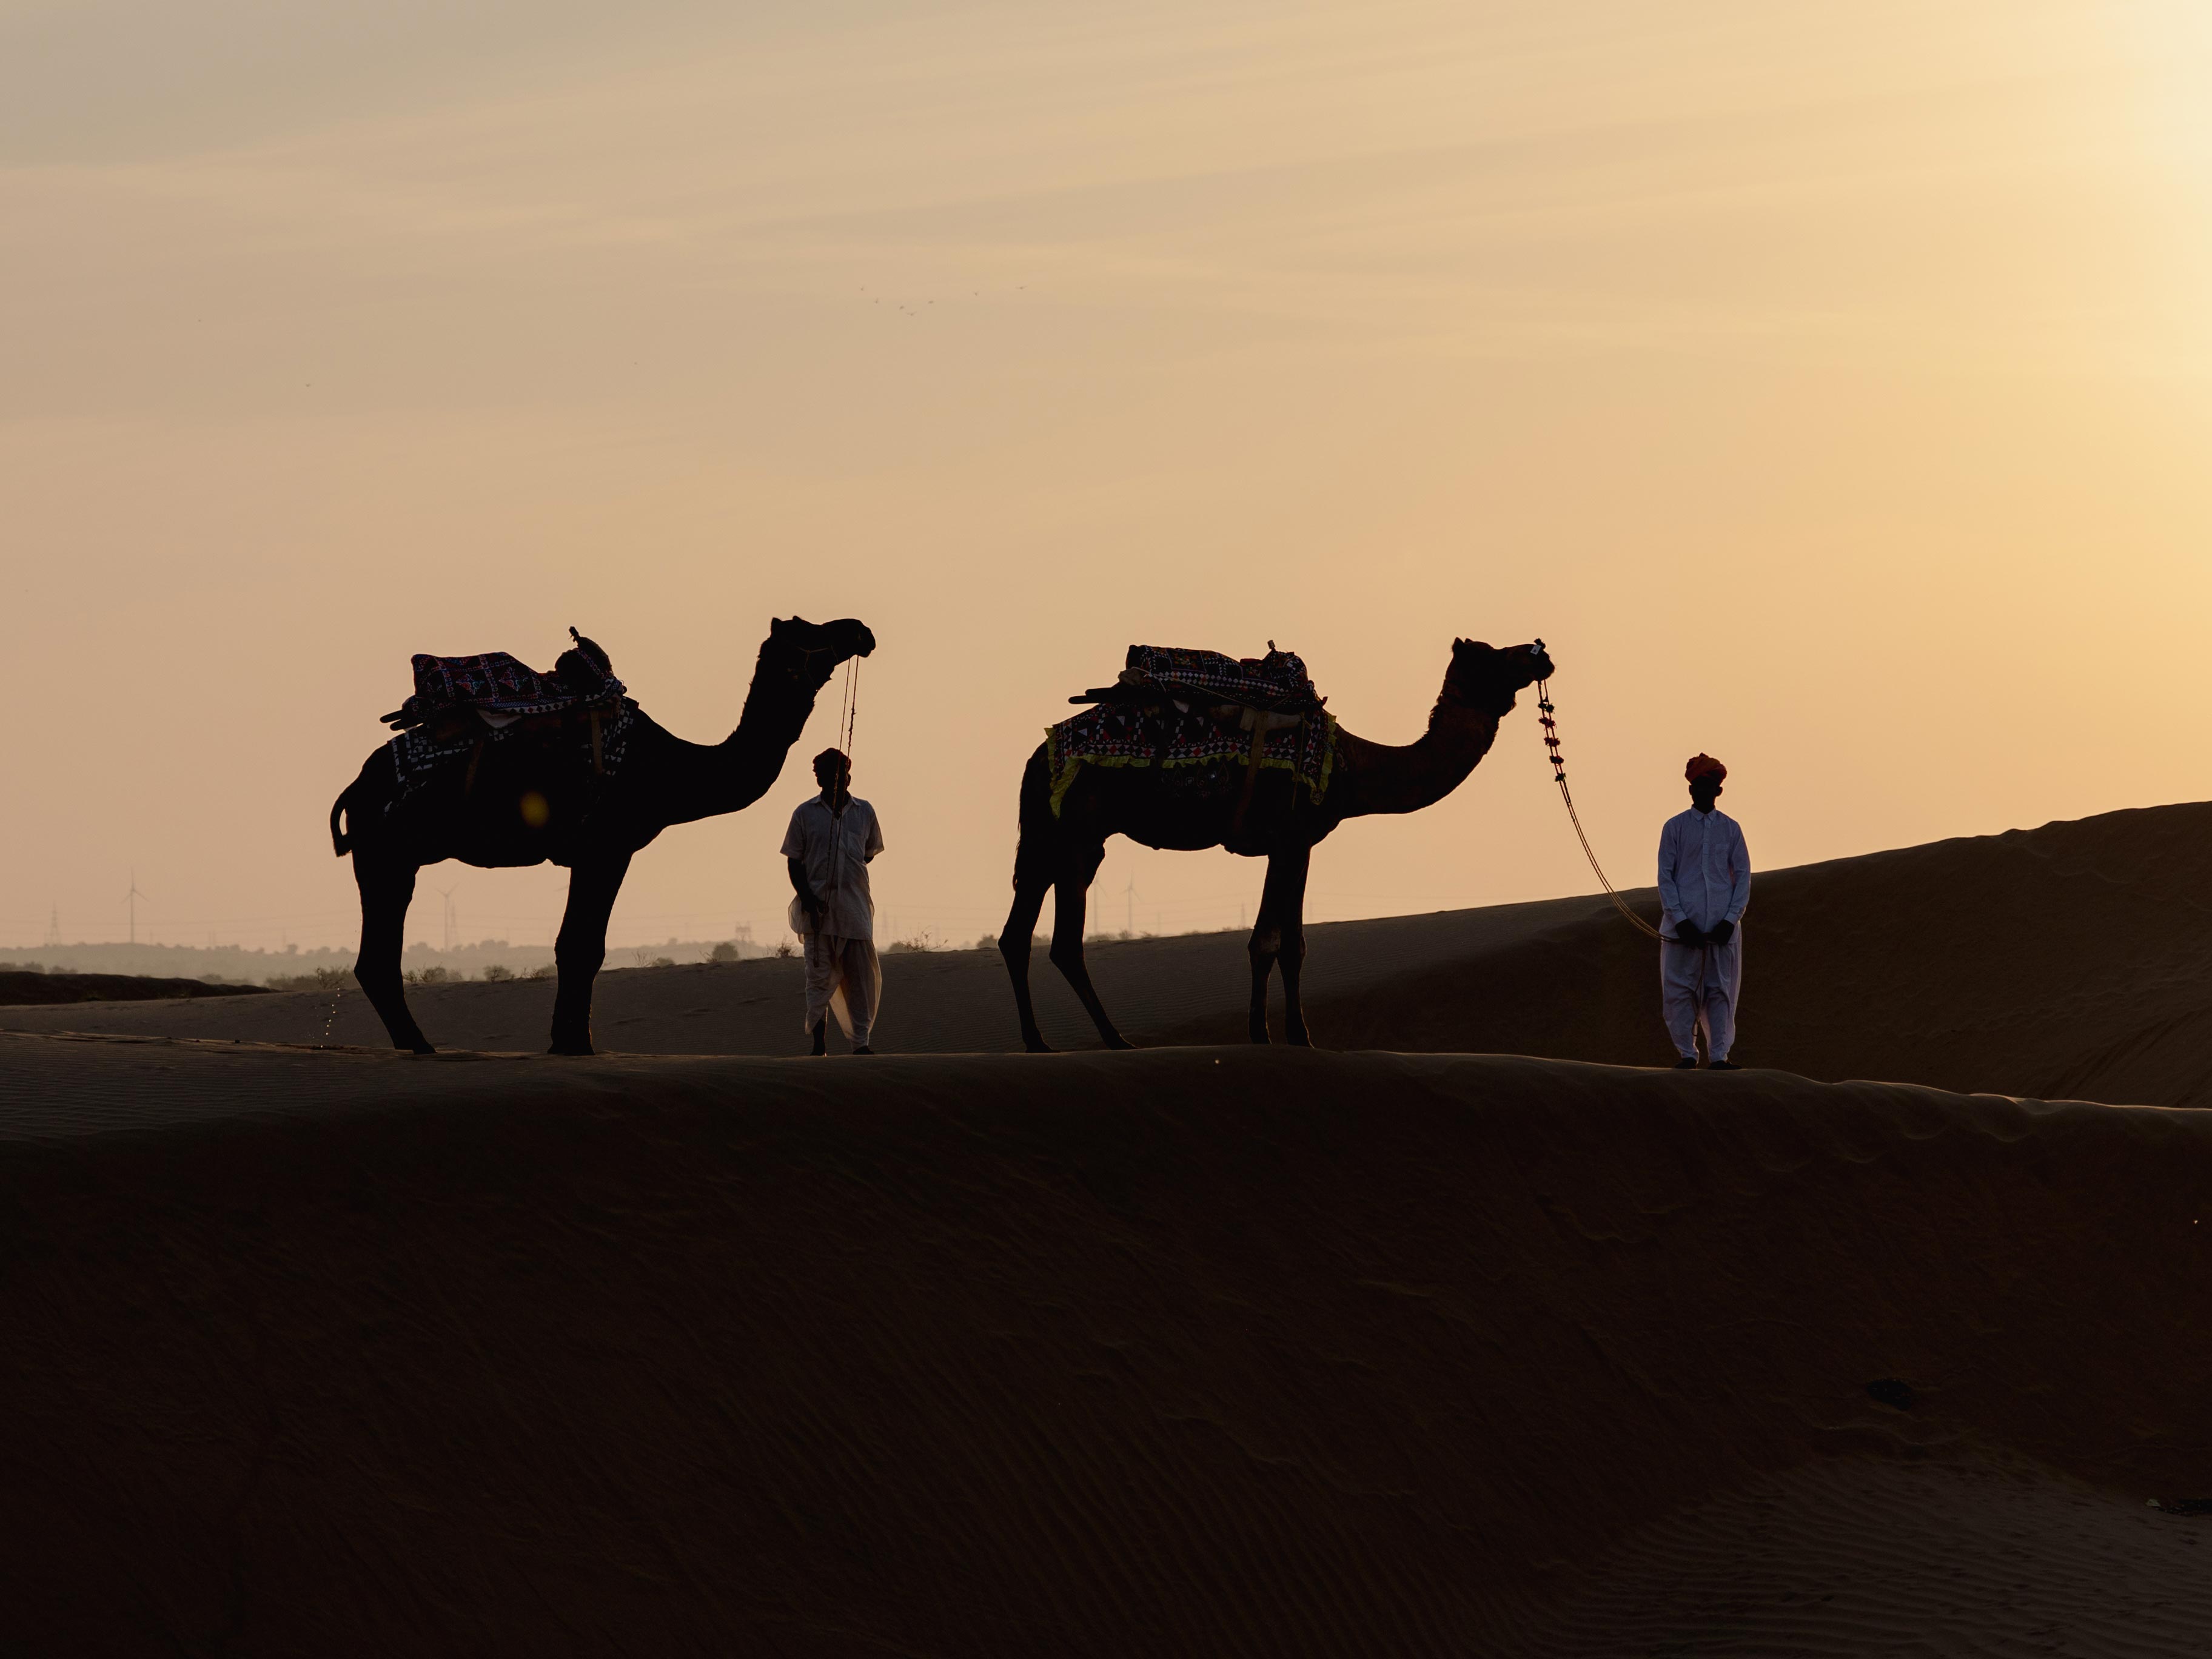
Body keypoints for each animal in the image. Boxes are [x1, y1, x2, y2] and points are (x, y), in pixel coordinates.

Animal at [331, 616, 875, 1055]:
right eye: (810, 630)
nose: (860, 630)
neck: (671, 769)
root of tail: (356, 787)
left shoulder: (591, 853)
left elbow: (573, 944)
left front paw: (565, 1041)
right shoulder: (608, 847)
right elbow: (584, 946)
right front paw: (578, 1044)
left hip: (386, 855)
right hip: (386, 853)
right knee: (377, 957)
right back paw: (420, 1046)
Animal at [998, 638, 1553, 1051]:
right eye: (1493, 655)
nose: (1540, 652)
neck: (1353, 768)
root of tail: (1038, 755)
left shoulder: (1297, 844)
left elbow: (1287, 943)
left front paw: (1287, 1035)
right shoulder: (1289, 837)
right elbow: (1272, 941)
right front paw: (1274, 1036)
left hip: (1049, 835)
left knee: (1017, 934)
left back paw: (1038, 1043)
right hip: (1076, 833)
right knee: (1065, 943)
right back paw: (1114, 1041)